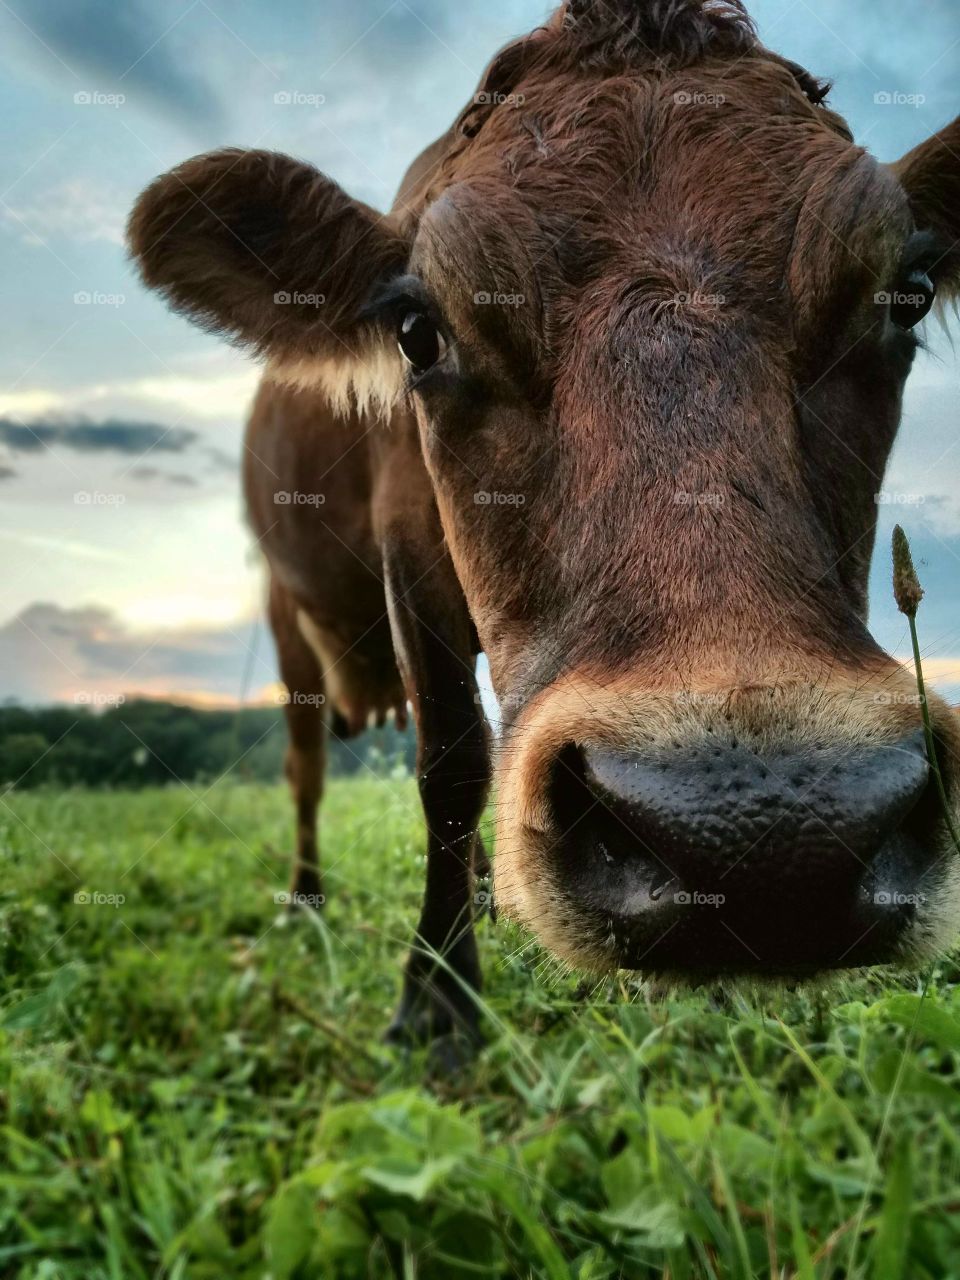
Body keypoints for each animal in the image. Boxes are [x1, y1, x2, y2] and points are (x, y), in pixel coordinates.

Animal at [128, 0, 960, 1053]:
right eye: (417, 331)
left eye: (908, 295)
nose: (772, 830)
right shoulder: (408, 543)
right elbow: (450, 759)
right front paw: (439, 997)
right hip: (287, 611)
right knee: (309, 760)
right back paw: (310, 901)